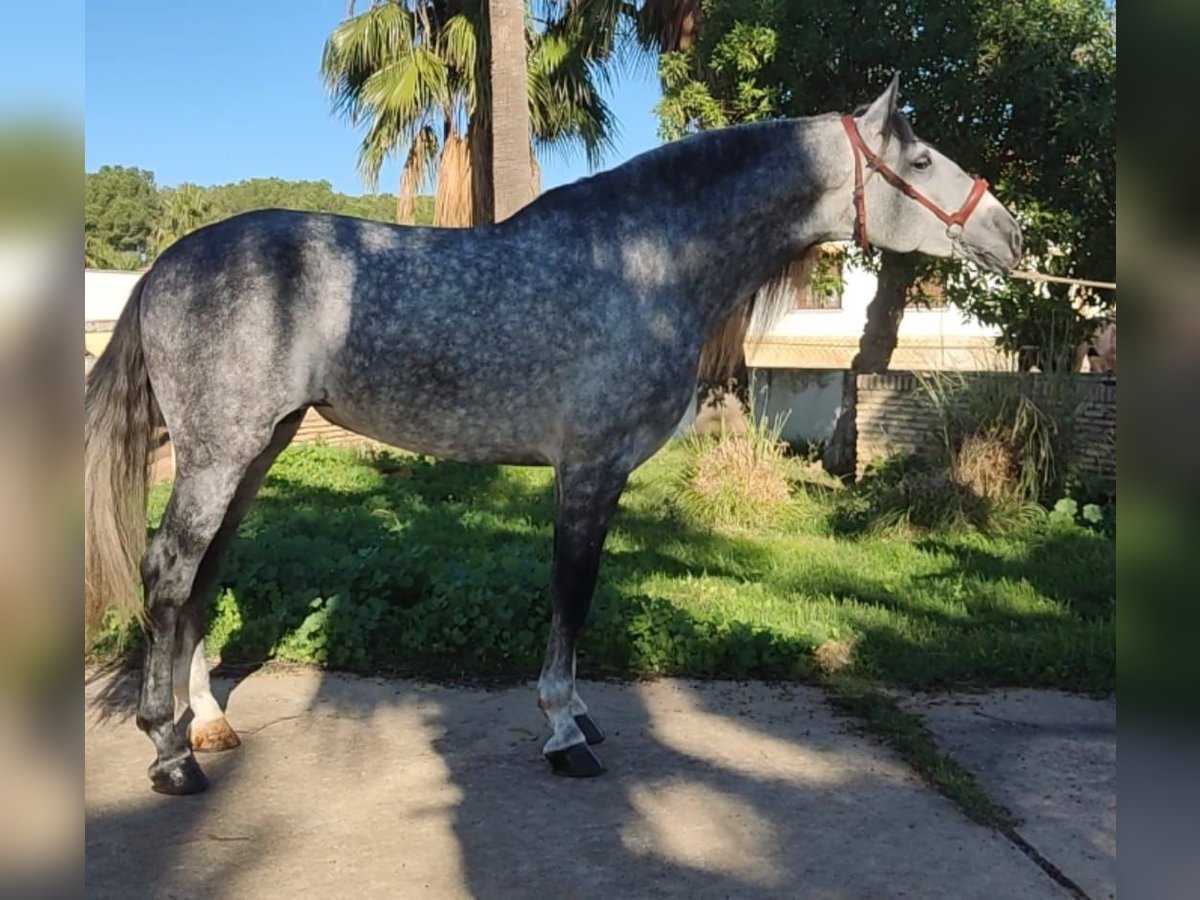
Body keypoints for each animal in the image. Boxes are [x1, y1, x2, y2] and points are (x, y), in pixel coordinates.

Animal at [87, 77, 1022, 796]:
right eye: (921, 161)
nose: (1010, 235)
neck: (648, 262)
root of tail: (164, 265)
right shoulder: (591, 469)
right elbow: (572, 595)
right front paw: (565, 733)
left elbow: (577, 596)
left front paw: (575, 719)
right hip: (221, 452)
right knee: (169, 570)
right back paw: (169, 751)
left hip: (258, 448)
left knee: (203, 574)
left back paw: (206, 723)